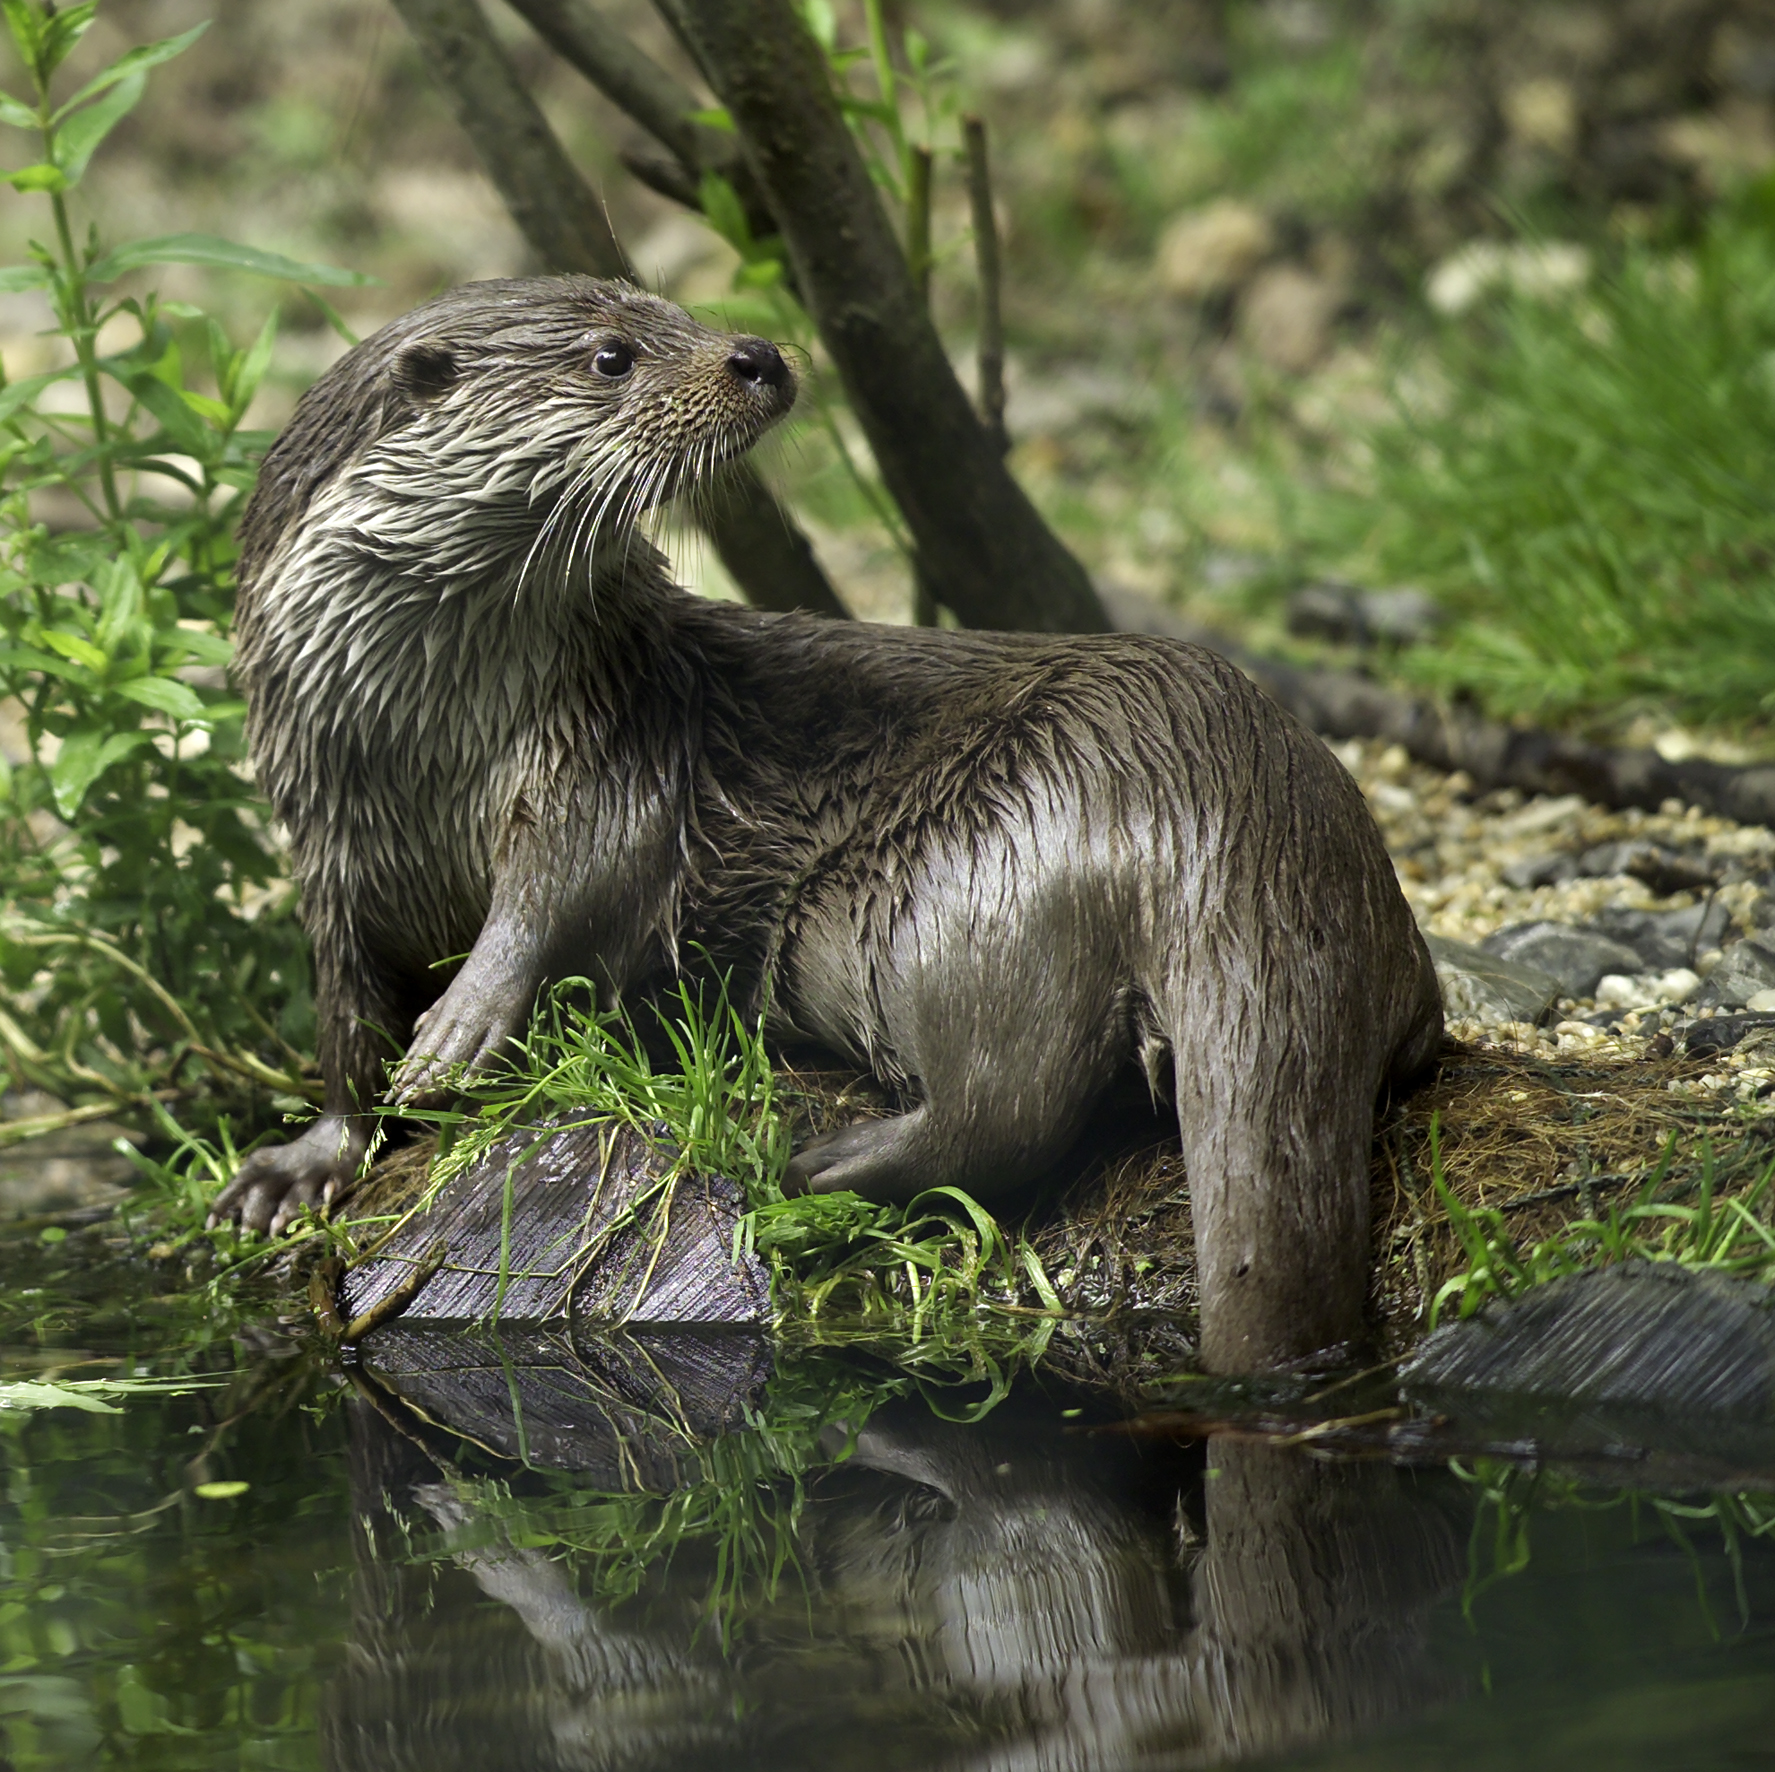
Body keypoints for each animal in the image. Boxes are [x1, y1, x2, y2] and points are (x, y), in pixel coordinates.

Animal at [214, 276, 1441, 1377]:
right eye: (612, 353)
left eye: (674, 310)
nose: (756, 354)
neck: (422, 753)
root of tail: (1230, 801)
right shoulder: (324, 848)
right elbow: (344, 1025)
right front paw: (295, 1166)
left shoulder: (606, 761)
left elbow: (562, 892)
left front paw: (464, 1022)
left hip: (951, 882)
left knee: (1009, 1101)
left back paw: (804, 1162)